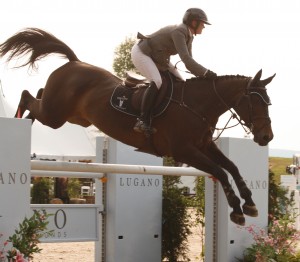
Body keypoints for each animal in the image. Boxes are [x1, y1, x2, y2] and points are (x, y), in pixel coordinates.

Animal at [0, 28, 276, 225]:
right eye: (255, 102)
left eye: (269, 102)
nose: (266, 137)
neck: (197, 105)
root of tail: (74, 62)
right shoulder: (184, 151)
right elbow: (220, 171)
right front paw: (237, 211)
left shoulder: (205, 146)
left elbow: (233, 167)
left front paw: (250, 204)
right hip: (55, 115)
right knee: (28, 97)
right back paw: (18, 119)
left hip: (74, 117)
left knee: (38, 94)